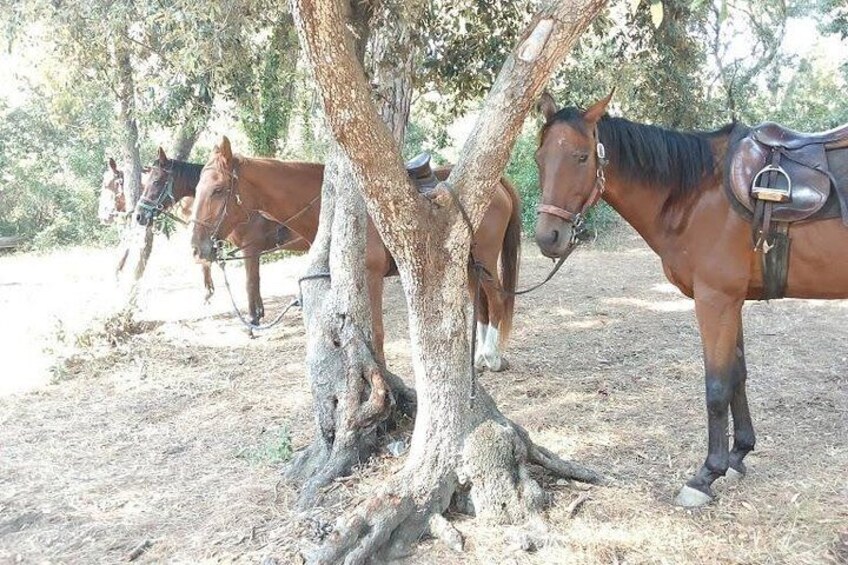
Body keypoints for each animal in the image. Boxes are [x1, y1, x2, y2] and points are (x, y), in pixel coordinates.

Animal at [134, 148, 304, 324]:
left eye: (156, 181)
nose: (139, 215)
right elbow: (255, 281)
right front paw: (258, 312)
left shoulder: (250, 249)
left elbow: (250, 282)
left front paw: (252, 319)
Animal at [191, 134, 520, 368]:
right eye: (197, 189)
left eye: (218, 190)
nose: (197, 247)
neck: (335, 211)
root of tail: (497, 185)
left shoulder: (371, 278)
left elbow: (376, 332)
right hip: (468, 264)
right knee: (482, 303)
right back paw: (479, 358)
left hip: (485, 259)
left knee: (497, 299)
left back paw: (491, 357)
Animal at [536, 91, 848, 506]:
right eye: (540, 158)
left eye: (582, 157)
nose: (548, 237)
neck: (699, 193)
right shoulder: (733, 300)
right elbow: (737, 375)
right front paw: (738, 454)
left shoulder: (715, 300)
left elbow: (716, 386)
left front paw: (706, 475)